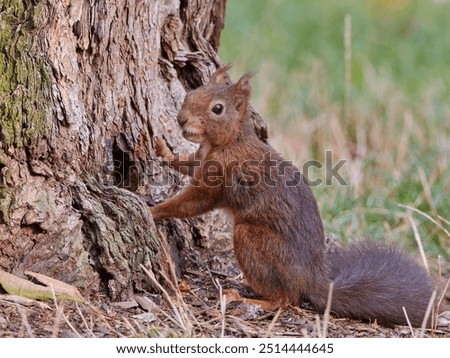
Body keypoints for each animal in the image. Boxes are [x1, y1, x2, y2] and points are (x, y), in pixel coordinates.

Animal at [151, 65, 436, 328]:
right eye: (192, 93)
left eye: (217, 109)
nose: (181, 119)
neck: (228, 141)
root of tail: (311, 281)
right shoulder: (201, 157)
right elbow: (185, 163)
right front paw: (162, 149)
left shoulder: (218, 175)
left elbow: (191, 203)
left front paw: (154, 210)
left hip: (253, 240)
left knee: (285, 299)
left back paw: (244, 298)